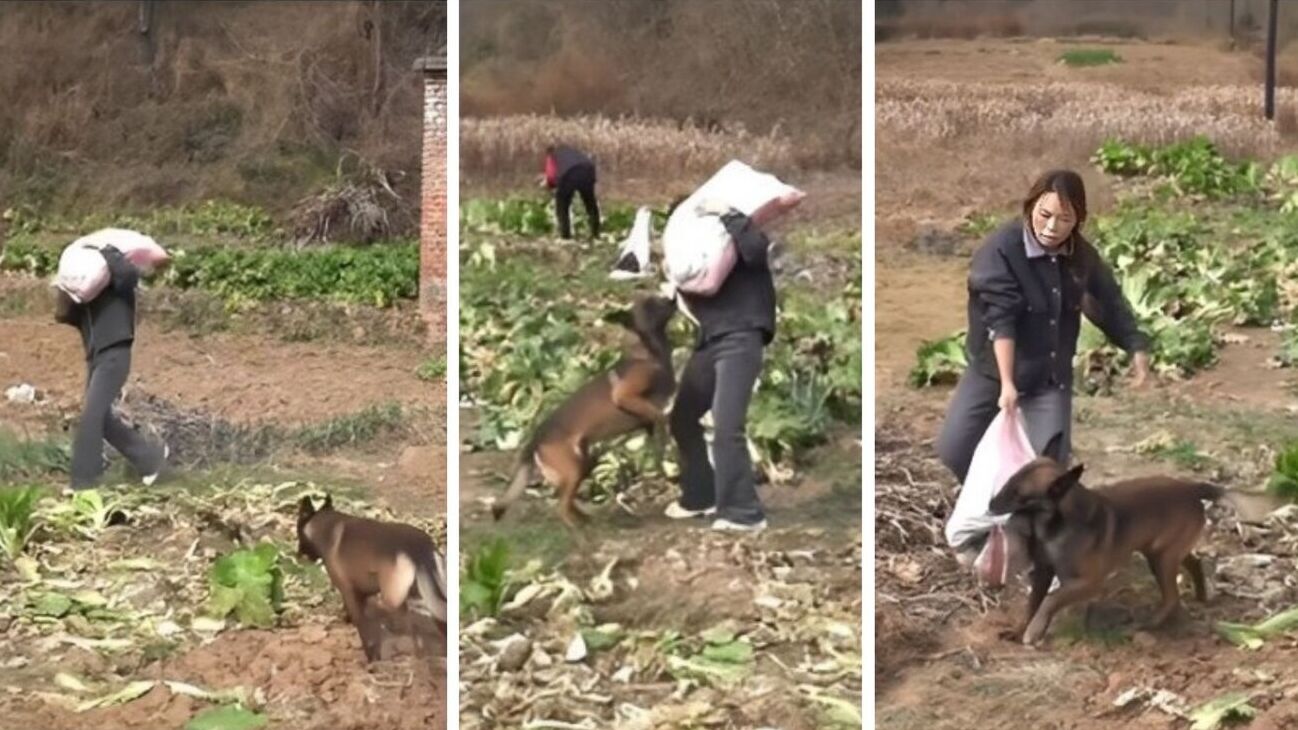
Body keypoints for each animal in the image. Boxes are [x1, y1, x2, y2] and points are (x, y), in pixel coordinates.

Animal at [297, 493, 449, 659]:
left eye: (298, 532)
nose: (298, 554)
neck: (326, 526)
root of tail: (420, 548)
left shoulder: (349, 593)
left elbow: (364, 630)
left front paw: (371, 657)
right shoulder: (363, 594)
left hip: (398, 600)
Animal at [488, 292, 680, 524]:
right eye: (651, 304)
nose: (672, 298)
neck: (648, 351)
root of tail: (536, 439)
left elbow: (656, 430)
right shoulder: (625, 395)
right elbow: (661, 416)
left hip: (583, 463)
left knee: (567, 501)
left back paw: (585, 519)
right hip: (572, 469)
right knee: (561, 506)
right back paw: (578, 527)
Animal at [986, 431, 1282, 641]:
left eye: (1019, 494)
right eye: (1009, 480)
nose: (989, 504)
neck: (1055, 524)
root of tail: (1192, 488)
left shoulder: (1087, 583)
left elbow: (1050, 600)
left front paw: (1033, 631)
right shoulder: (1043, 573)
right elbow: (1033, 603)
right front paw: (1021, 628)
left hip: (1161, 558)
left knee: (1172, 597)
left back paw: (1150, 623)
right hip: (1162, 552)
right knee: (1193, 563)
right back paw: (1199, 595)